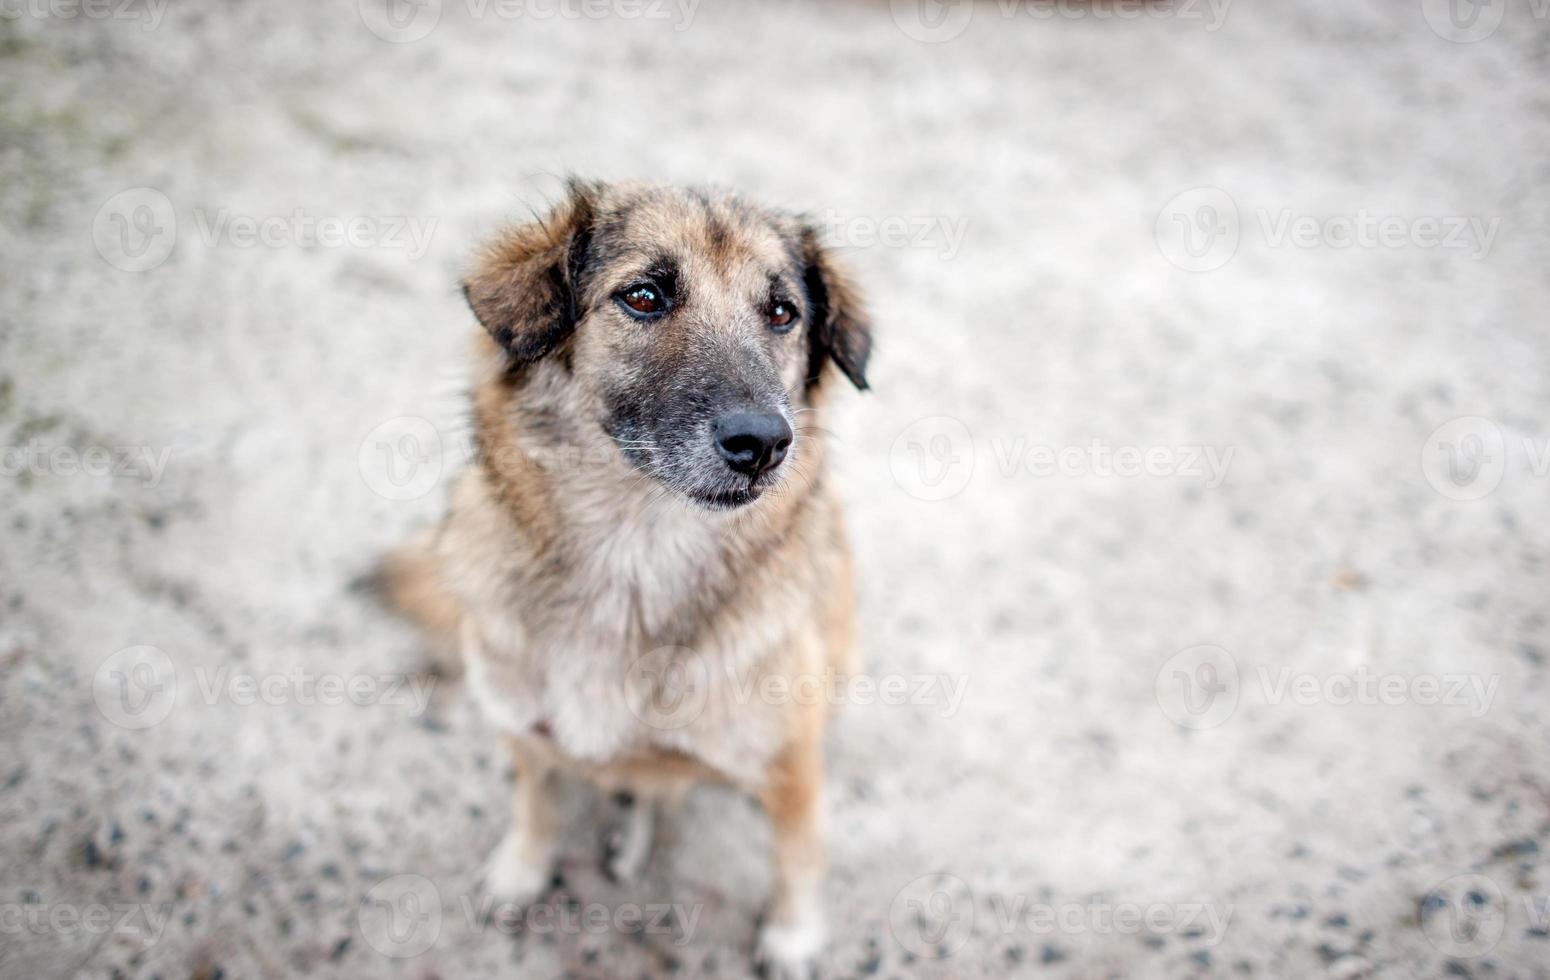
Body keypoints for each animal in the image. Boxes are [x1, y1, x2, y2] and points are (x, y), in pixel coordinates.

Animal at [384, 179, 874, 973]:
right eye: (643, 296)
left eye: (782, 312)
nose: (764, 444)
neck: (635, 557)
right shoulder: (523, 730)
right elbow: (537, 804)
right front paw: (520, 871)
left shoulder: (792, 764)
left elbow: (800, 855)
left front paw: (794, 937)